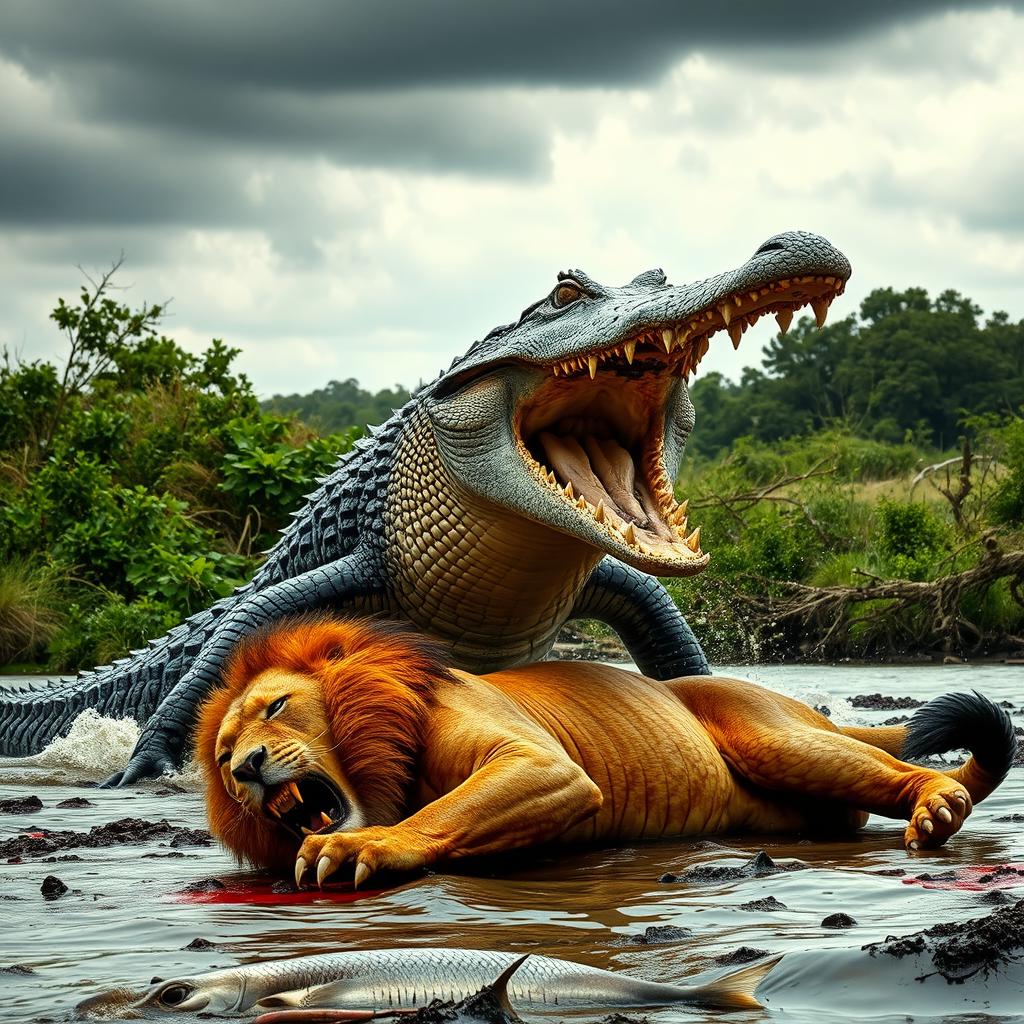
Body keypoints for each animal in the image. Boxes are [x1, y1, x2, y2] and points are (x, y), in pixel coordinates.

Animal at [196, 615, 1015, 888]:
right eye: (224, 753)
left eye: (276, 707)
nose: (246, 769)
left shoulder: (546, 767)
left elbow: (440, 814)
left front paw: (362, 847)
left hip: (773, 735)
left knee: (904, 771)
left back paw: (938, 806)